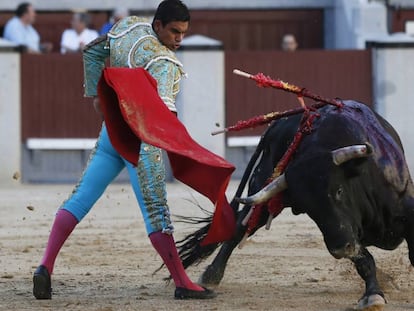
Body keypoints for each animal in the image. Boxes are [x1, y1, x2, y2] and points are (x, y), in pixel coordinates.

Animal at [177, 101, 414, 310]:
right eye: (309, 208)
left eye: (339, 190)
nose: (339, 250)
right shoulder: (344, 233)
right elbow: (364, 260)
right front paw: (373, 295)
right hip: (264, 189)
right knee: (240, 227)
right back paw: (211, 276)